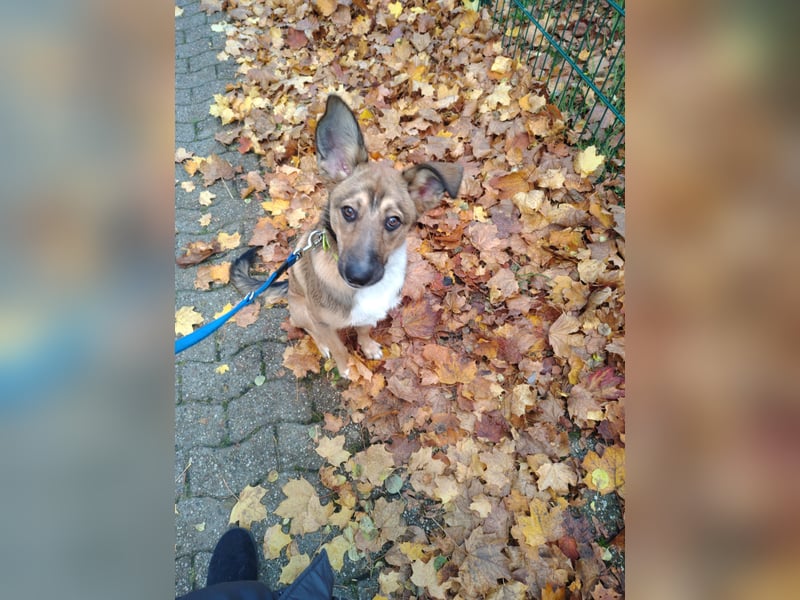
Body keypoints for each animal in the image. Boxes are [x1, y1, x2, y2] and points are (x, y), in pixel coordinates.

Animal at [231, 94, 462, 378]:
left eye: (393, 221)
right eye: (348, 211)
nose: (358, 276)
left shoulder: (368, 315)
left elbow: (363, 330)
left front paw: (368, 347)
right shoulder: (322, 321)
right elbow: (339, 348)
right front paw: (347, 369)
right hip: (301, 310)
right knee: (309, 330)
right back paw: (321, 346)